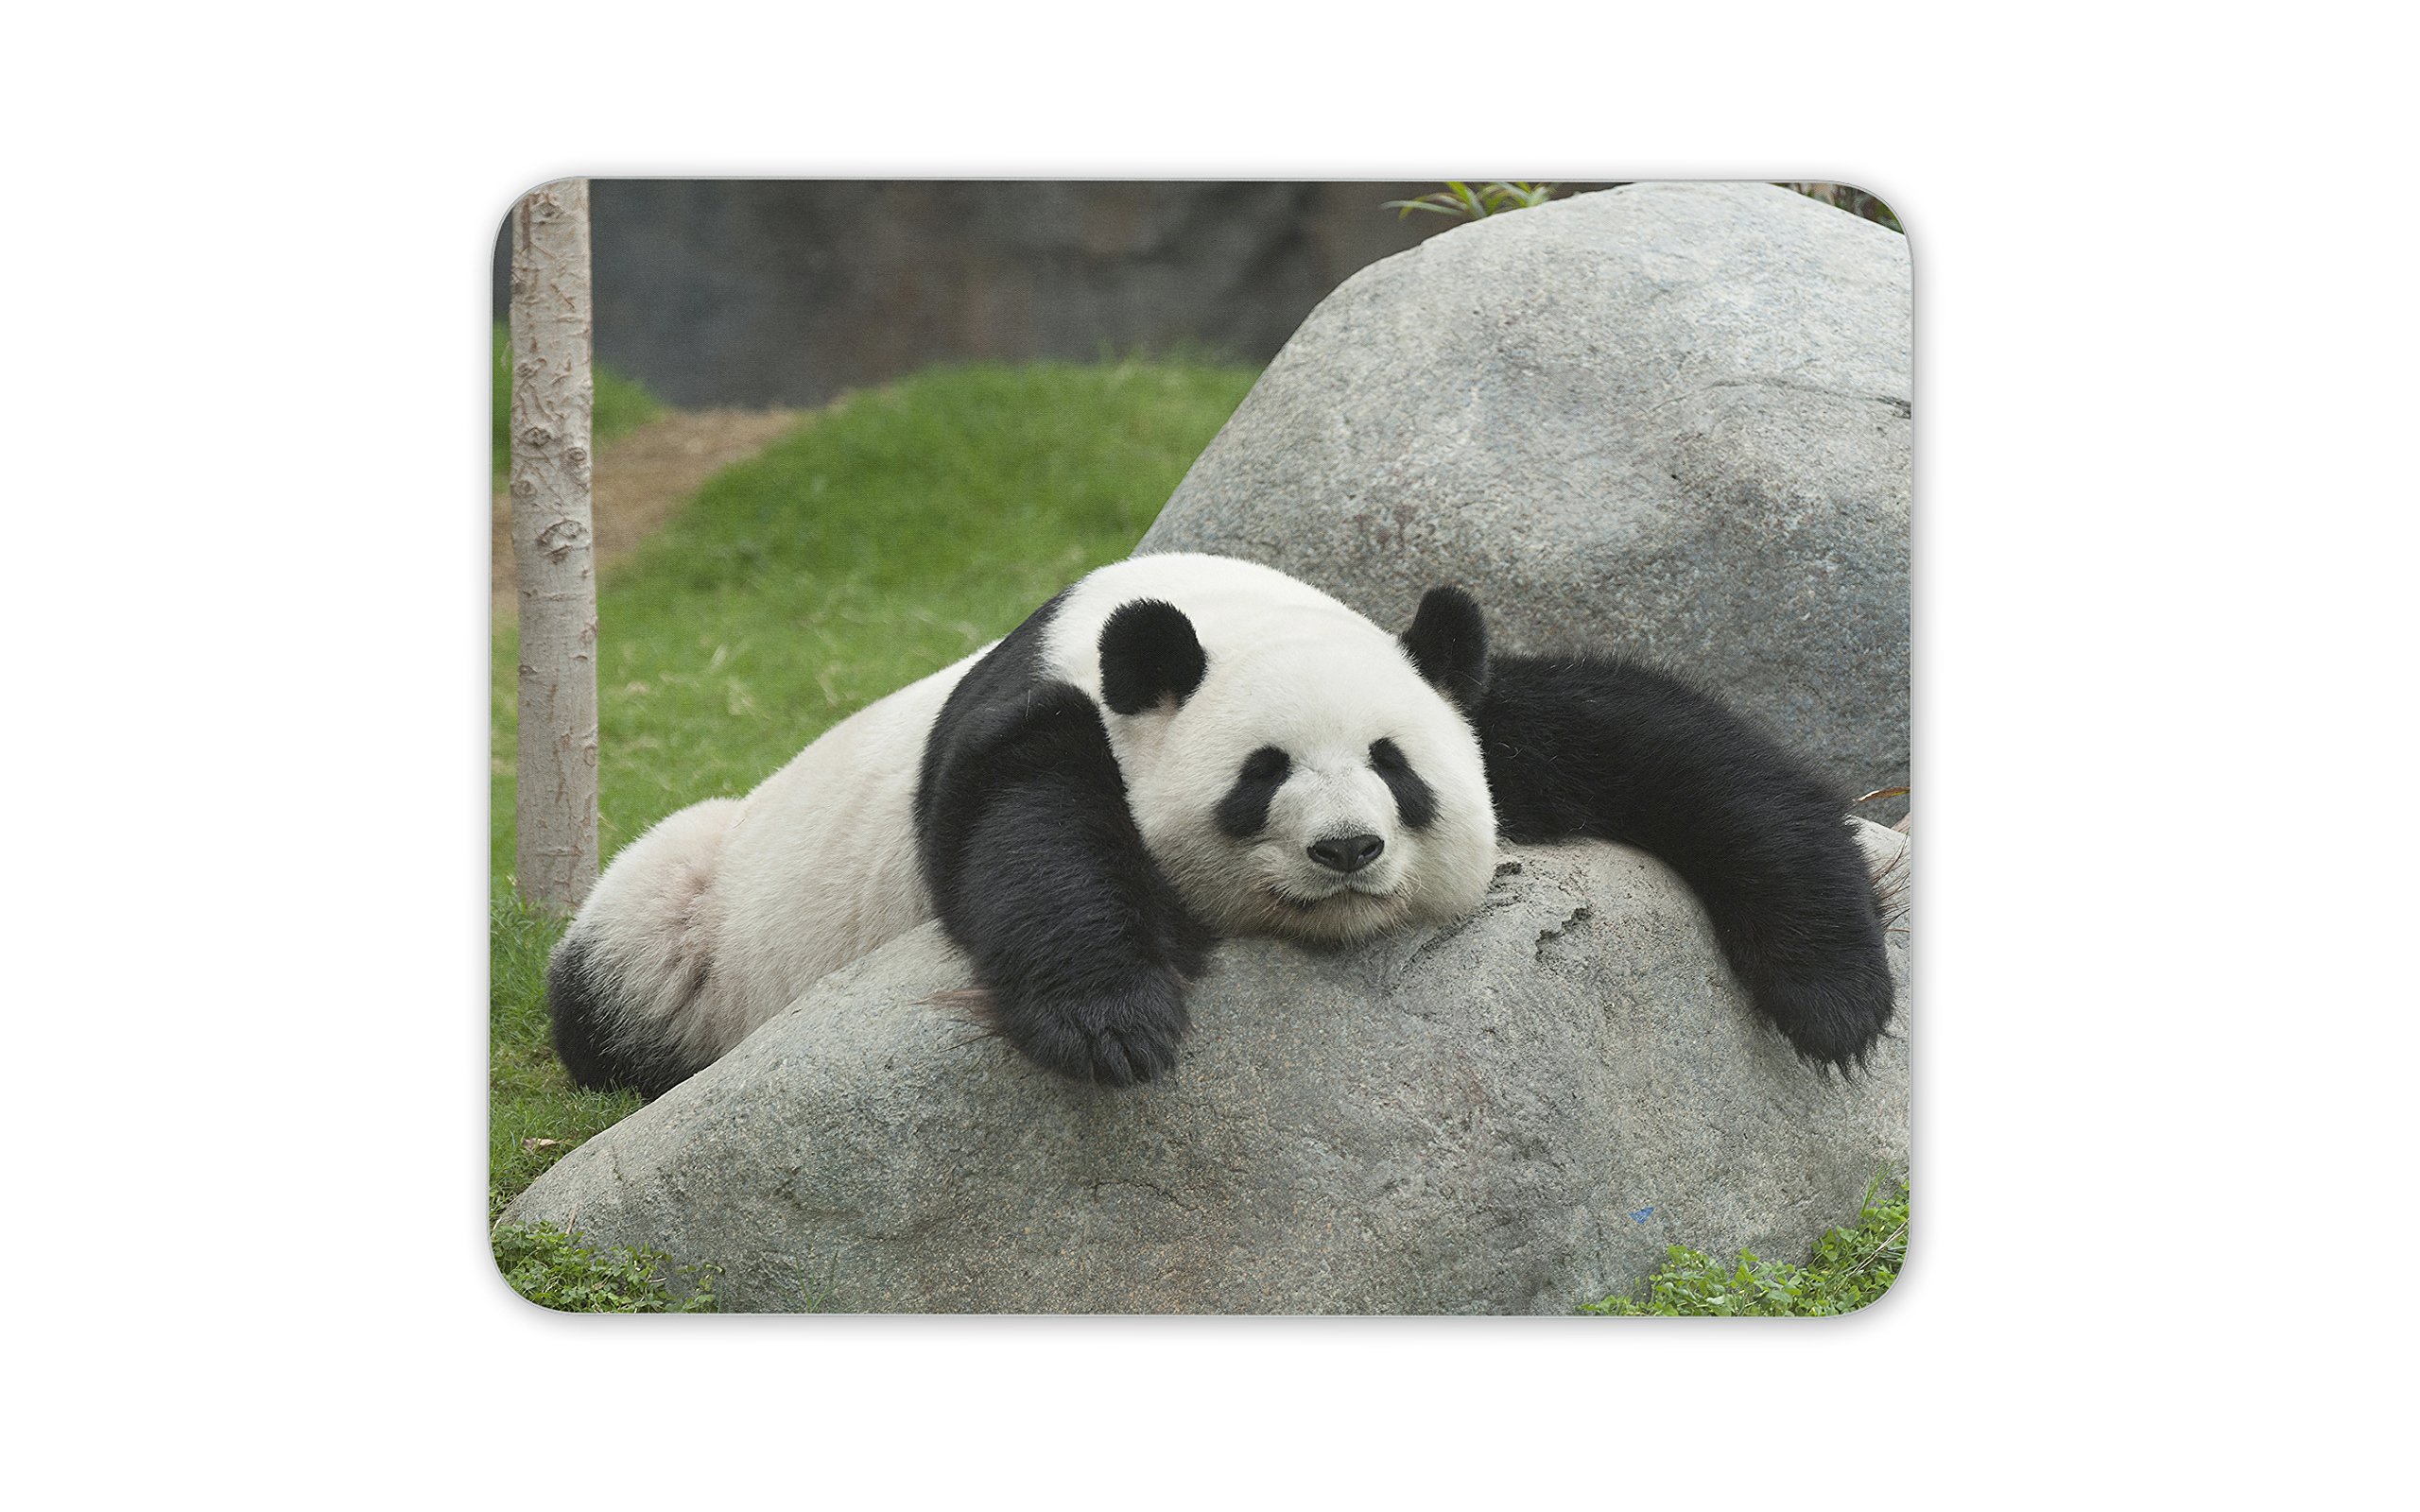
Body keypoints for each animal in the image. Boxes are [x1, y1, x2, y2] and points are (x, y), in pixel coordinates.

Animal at [547, 552, 1893, 1096]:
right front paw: (1115, 1022)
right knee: (623, 963)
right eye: (1262, 775)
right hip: (695, 911)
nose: (1346, 849)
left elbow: (1671, 745)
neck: (1208, 608)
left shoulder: (1458, 690)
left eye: (1396, 770)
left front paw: (1836, 997)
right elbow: (1026, 834)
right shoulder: (1040, 715)